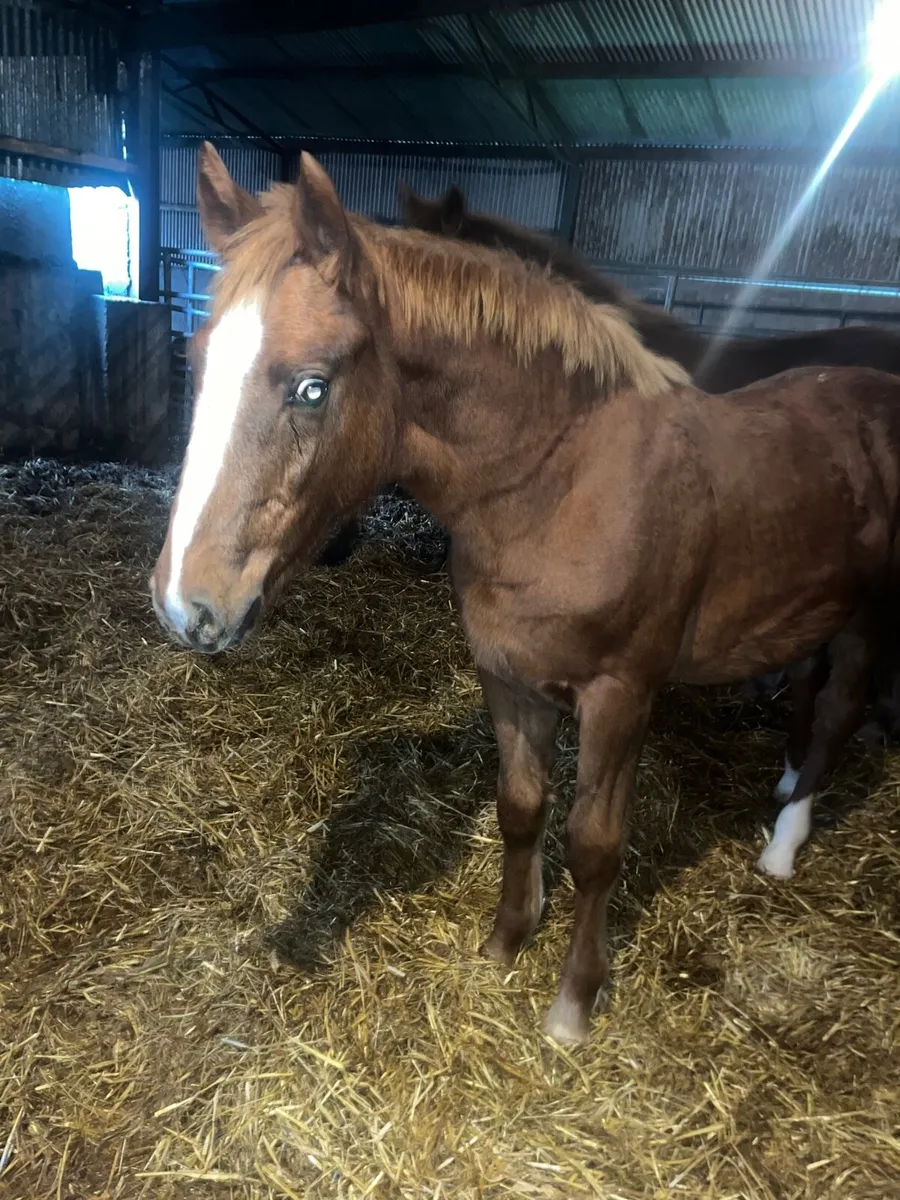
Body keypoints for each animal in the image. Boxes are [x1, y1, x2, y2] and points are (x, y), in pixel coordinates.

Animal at [151, 143, 900, 1043]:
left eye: (312, 386)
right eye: (194, 363)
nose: (187, 605)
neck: (558, 482)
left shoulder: (621, 695)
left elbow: (595, 845)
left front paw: (574, 1001)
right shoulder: (508, 675)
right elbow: (520, 808)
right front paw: (506, 940)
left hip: (873, 617)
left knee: (841, 709)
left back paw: (783, 848)